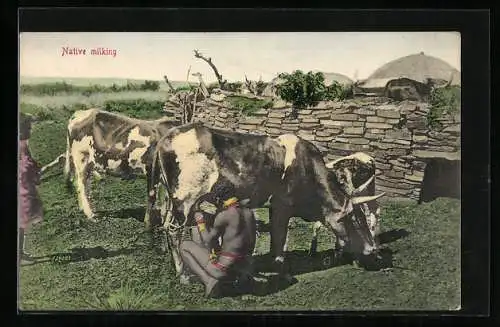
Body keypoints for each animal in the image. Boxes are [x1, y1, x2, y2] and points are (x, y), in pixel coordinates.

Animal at [145, 123, 386, 280]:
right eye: (353, 219)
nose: (372, 249)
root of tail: (167, 138)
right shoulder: (282, 205)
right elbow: (279, 239)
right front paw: (279, 267)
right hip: (185, 200)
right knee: (174, 230)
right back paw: (183, 273)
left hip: (172, 199)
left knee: (165, 223)